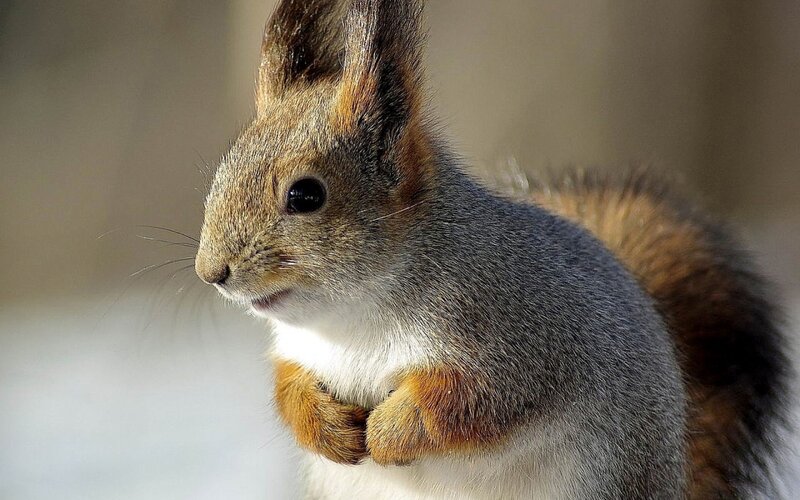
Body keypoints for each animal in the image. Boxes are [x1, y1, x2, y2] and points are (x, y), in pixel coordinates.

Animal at [194, 1, 790, 498]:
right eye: (223, 169)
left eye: (305, 195)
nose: (210, 272)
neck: (353, 318)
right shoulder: (298, 352)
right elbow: (289, 389)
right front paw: (328, 428)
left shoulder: (523, 345)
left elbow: (469, 403)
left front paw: (389, 431)